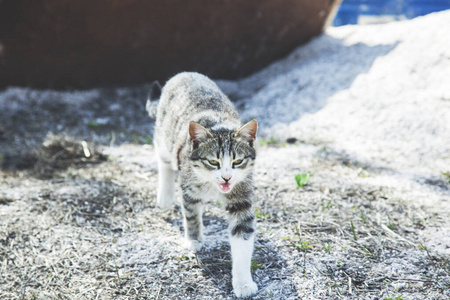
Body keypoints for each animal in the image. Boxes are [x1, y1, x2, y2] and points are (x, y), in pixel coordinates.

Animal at [144, 71, 256, 298]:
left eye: (237, 162)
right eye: (213, 162)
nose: (226, 178)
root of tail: (183, 74)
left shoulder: (242, 194)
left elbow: (242, 235)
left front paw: (243, 284)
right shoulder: (189, 187)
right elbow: (191, 215)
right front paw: (194, 240)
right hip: (164, 134)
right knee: (162, 156)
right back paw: (165, 196)